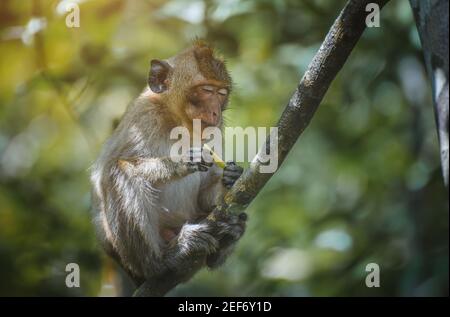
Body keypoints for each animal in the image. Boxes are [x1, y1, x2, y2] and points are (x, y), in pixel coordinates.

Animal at [90, 40, 248, 296]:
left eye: (221, 93)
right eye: (206, 90)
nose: (215, 112)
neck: (177, 121)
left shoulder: (214, 131)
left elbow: (208, 196)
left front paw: (230, 177)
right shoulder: (143, 119)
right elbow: (109, 169)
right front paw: (181, 162)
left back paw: (230, 233)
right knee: (117, 172)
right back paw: (165, 259)